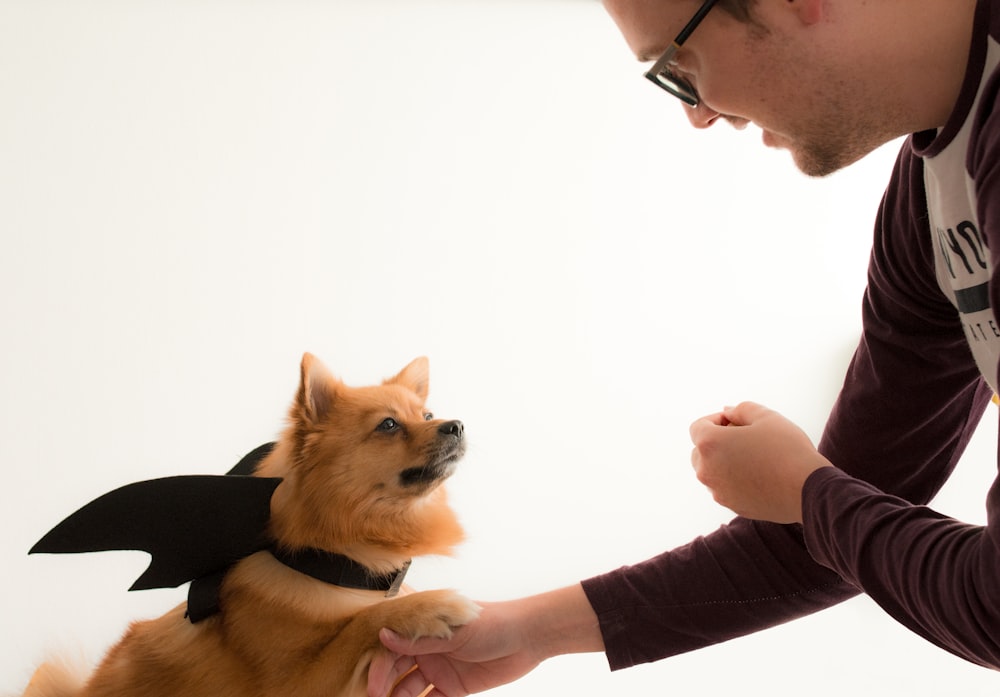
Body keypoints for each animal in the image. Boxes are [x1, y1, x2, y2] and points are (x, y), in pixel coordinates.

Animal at [21, 356, 478, 692]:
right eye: (388, 424)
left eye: (427, 413)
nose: (456, 424)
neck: (337, 564)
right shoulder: (295, 685)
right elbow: (357, 626)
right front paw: (432, 606)